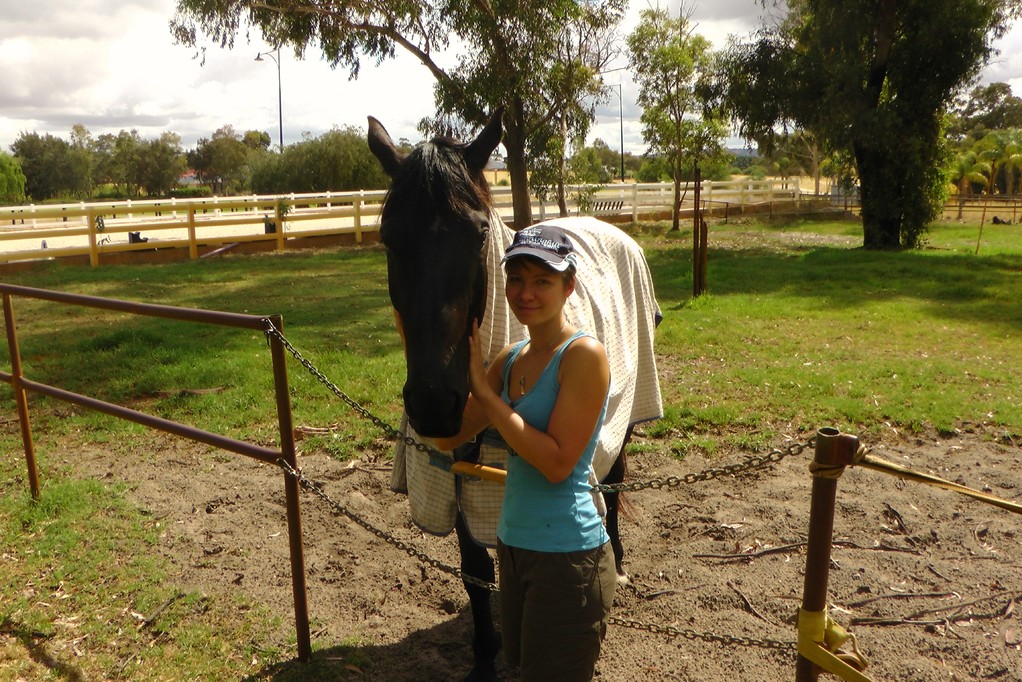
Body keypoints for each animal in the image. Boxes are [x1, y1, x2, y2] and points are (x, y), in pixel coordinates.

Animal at [368, 109, 662, 681]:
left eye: (479, 232)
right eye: (389, 238)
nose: (434, 403)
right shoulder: (456, 473)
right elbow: (476, 567)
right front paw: (486, 655)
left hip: (625, 413)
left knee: (613, 483)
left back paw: (616, 561)